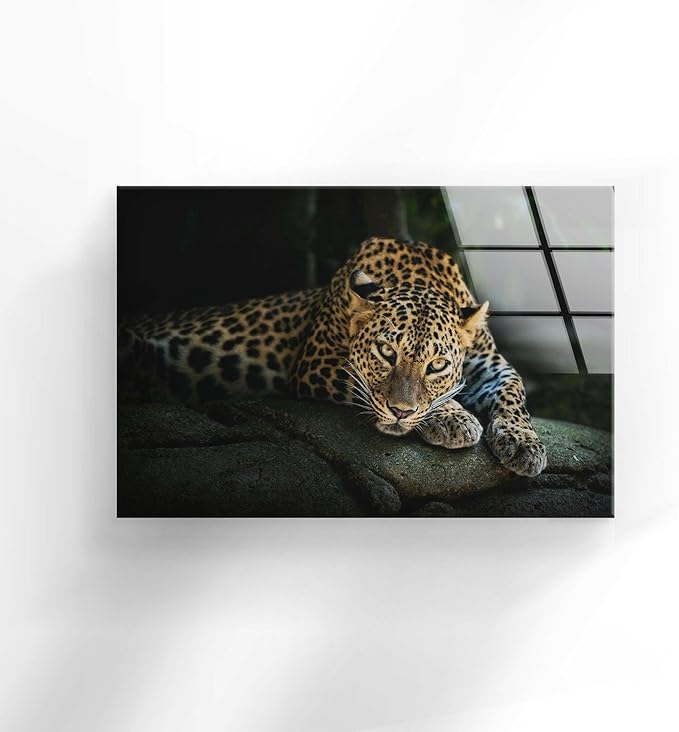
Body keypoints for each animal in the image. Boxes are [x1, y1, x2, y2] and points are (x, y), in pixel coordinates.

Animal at [119, 236, 547, 477]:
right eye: (386, 352)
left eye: (437, 365)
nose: (401, 413)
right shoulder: (316, 362)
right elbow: (368, 388)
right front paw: (455, 418)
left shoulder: (491, 365)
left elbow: (515, 391)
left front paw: (524, 444)